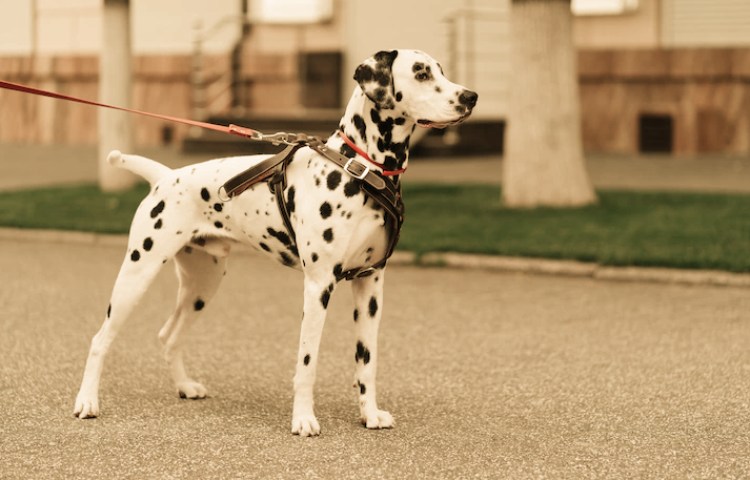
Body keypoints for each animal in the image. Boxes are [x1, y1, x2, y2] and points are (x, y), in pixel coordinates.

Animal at [73, 48, 478, 436]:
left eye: (441, 70)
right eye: (421, 72)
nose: (470, 97)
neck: (360, 169)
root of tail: (165, 176)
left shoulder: (370, 285)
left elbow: (367, 361)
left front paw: (370, 415)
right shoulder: (319, 286)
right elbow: (307, 362)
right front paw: (303, 420)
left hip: (202, 287)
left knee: (168, 335)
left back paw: (185, 386)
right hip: (136, 276)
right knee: (98, 340)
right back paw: (87, 402)